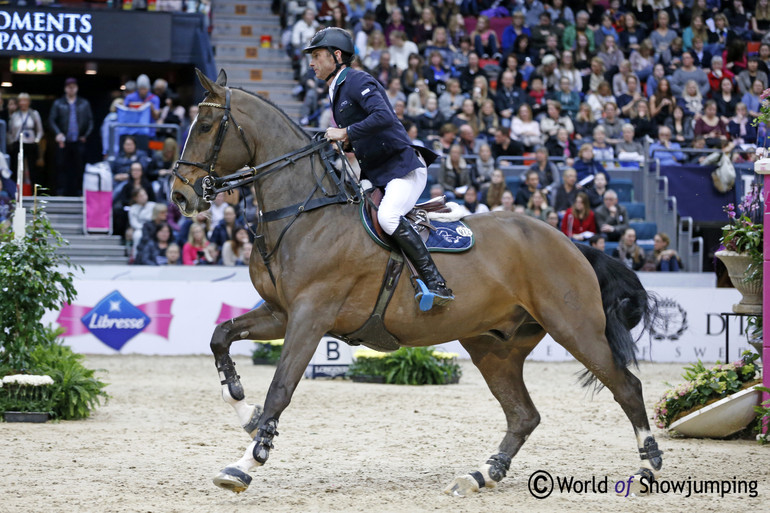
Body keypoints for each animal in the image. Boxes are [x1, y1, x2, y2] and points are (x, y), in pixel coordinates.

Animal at [171, 70, 664, 494]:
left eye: (208, 125)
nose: (181, 195)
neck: (303, 214)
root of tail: (569, 241)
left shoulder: (311, 316)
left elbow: (281, 387)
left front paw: (246, 462)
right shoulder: (280, 313)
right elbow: (220, 337)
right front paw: (245, 409)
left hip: (574, 327)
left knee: (626, 387)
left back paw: (647, 467)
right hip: (493, 344)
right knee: (523, 414)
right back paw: (481, 474)